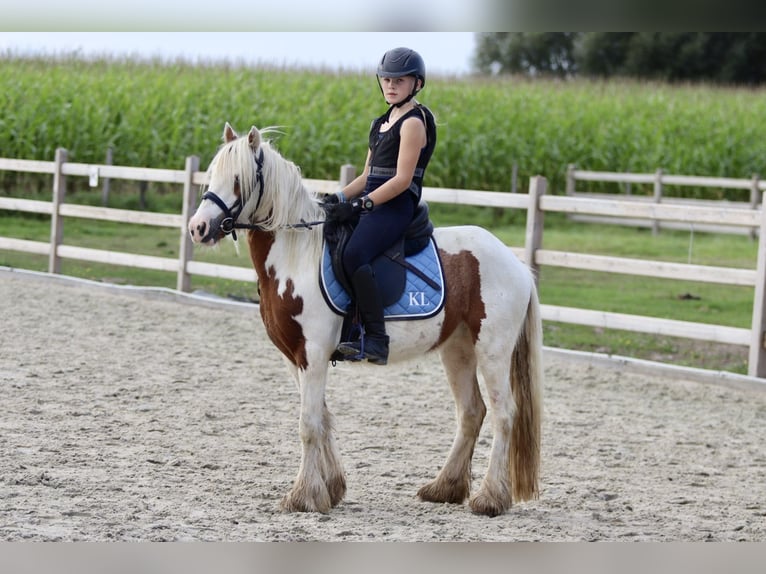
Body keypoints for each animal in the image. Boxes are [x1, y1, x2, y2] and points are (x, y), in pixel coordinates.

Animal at [188, 124, 544, 520]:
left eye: (239, 179)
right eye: (211, 174)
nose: (198, 228)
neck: (296, 255)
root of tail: (516, 264)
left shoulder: (312, 355)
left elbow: (308, 424)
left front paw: (303, 496)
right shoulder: (294, 358)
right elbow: (323, 418)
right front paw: (330, 489)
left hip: (492, 350)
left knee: (503, 414)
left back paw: (489, 499)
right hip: (458, 349)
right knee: (471, 412)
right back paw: (444, 488)